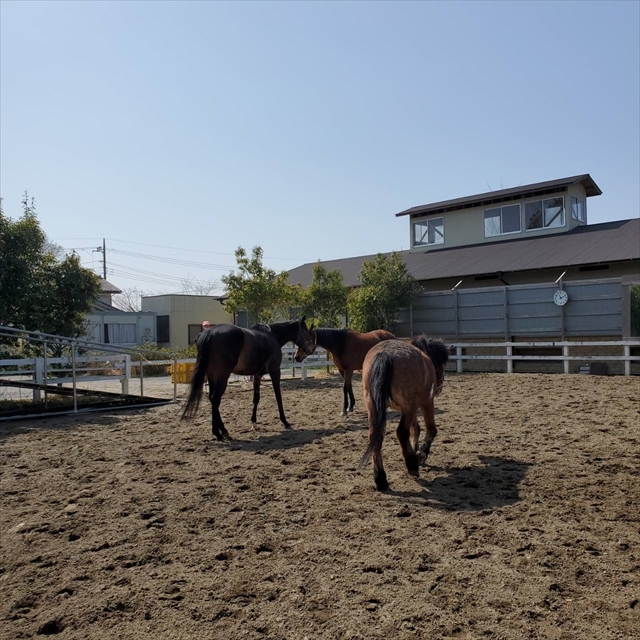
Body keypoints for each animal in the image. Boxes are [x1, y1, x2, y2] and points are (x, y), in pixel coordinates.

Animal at [181, 318, 315, 441]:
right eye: (307, 331)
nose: (311, 350)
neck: (272, 336)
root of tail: (209, 333)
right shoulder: (275, 371)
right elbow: (278, 397)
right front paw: (285, 422)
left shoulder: (257, 375)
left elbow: (256, 398)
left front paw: (254, 422)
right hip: (222, 376)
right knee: (215, 399)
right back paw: (218, 433)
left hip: (213, 376)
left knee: (212, 399)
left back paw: (223, 431)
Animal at [359, 336, 450, 491]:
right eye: (440, 363)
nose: (439, 387)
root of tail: (384, 355)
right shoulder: (425, 402)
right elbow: (431, 429)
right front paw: (421, 453)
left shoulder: (411, 409)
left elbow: (416, 429)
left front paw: (415, 450)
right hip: (409, 405)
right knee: (401, 432)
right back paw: (411, 465)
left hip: (373, 404)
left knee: (376, 436)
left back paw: (380, 478)